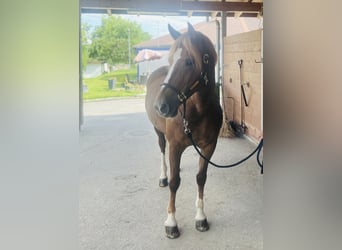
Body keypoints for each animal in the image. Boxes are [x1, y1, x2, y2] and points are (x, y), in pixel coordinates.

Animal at [144, 22, 222, 238]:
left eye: (188, 61)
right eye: (171, 59)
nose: (161, 106)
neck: (198, 111)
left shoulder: (209, 146)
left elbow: (201, 178)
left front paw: (201, 217)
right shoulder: (176, 145)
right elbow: (174, 183)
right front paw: (171, 222)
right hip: (159, 133)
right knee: (163, 152)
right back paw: (163, 176)